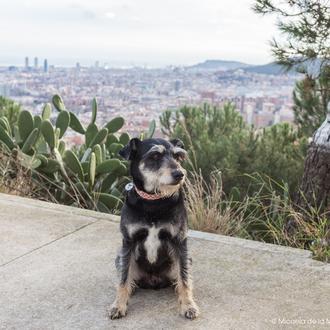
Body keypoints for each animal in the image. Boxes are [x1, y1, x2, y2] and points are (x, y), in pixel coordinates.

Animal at [109, 137, 200, 320]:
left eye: (178, 156)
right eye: (155, 156)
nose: (180, 174)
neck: (153, 201)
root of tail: (153, 282)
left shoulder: (179, 242)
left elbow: (184, 278)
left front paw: (188, 305)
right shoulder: (128, 243)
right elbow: (123, 278)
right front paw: (119, 305)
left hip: (187, 259)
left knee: (181, 277)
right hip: (118, 258)